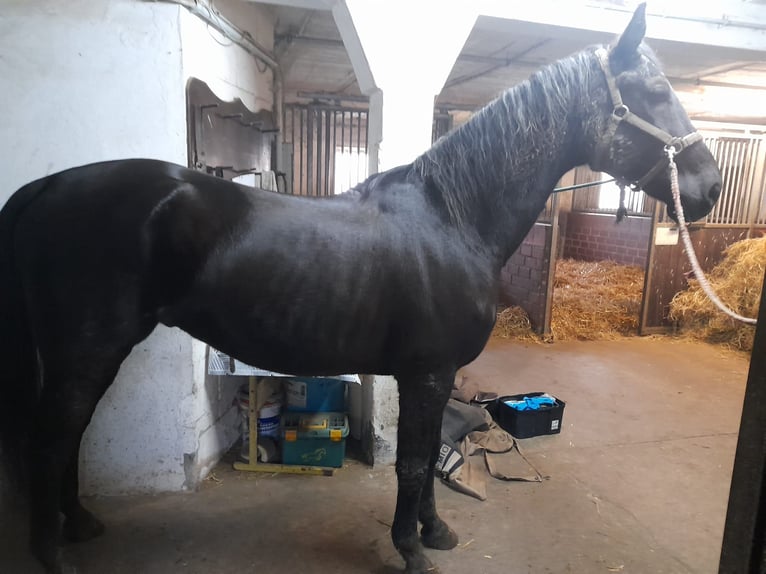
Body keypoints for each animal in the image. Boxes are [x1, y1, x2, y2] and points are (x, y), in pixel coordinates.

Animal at [0, 5, 720, 574]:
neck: (452, 217)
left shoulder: (435, 374)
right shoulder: (426, 373)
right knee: (52, 437)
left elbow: (426, 457)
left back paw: (79, 525)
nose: (709, 186)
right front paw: (413, 549)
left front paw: (435, 530)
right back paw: (55, 555)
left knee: (68, 435)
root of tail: (45, 187)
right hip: (87, 350)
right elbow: (412, 461)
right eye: (653, 90)